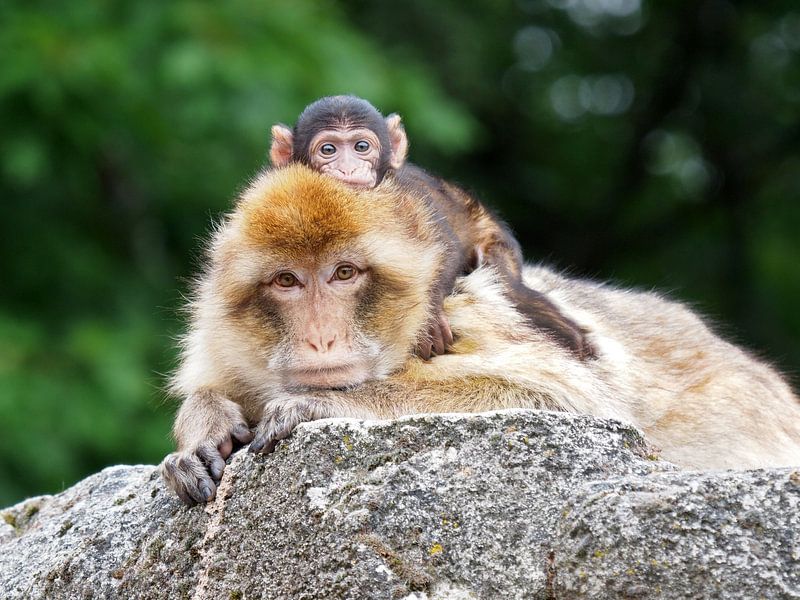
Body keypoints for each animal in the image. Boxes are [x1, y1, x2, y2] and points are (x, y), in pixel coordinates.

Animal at [161, 164, 800, 505]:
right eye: (287, 281)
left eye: (344, 274)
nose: (320, 339)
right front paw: (202, 427)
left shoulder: (461, 315)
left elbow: (567, 397)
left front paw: (323, 405)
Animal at [269, 95, 595, 361]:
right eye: (328, 149)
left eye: (361, 147)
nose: (348, 168)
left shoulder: (407, 192)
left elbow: (443, 245)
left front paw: (426, 321)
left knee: (506, 284)